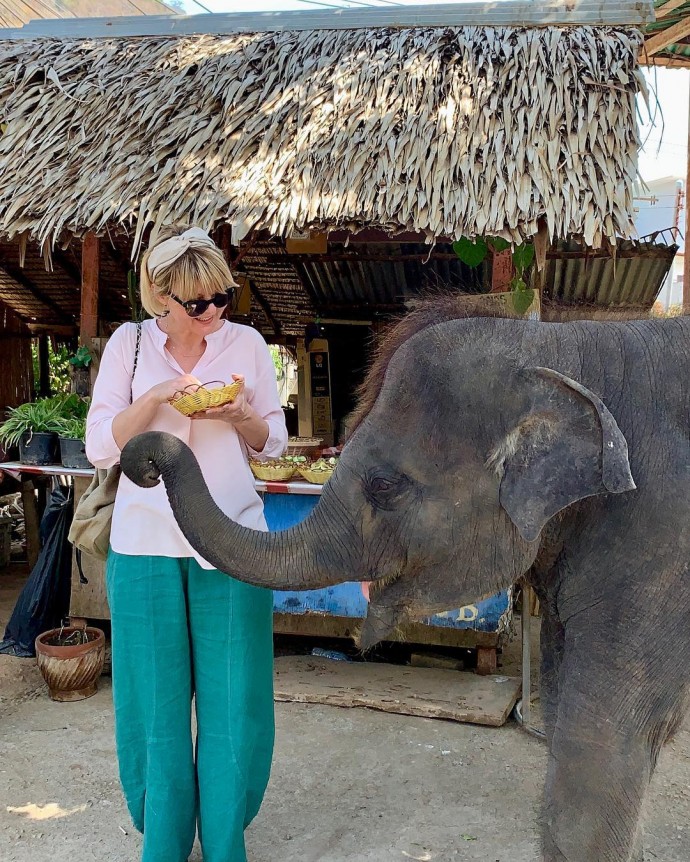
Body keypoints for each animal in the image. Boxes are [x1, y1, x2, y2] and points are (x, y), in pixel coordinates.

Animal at [122, 308, 688, 862]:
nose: (145, 460)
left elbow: (598, 746)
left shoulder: (657, 547)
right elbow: (562, 700)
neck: (565, 345)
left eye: (383, 485)